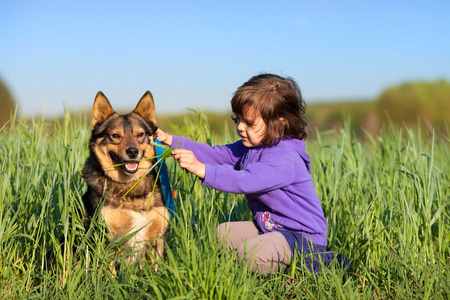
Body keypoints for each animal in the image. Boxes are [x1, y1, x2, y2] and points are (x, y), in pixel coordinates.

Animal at [81, 90, 169, 266]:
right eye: (115, 135)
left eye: (140, 134)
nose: (133, 151)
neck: (131, 185)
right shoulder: (106, 238)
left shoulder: (156, 238)